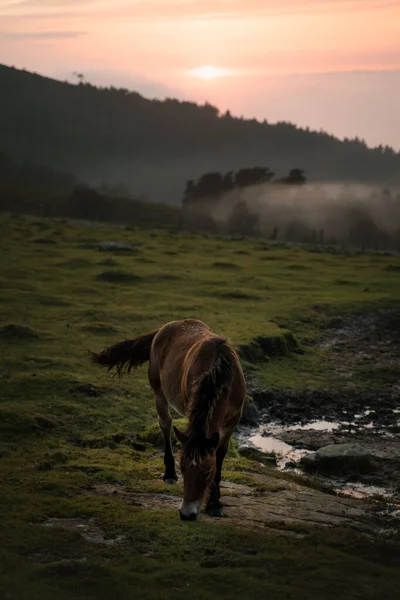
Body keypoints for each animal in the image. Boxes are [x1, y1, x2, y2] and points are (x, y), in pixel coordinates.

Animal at [89, 318, 245, 520]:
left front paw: (214, 503)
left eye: (206, 472)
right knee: (165, 423)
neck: (219, 372)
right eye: (183, 468)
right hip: (158, 390)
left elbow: (219, 456)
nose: (186, 514)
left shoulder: (232, 421)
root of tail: (167, 326)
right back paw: (169, 473)